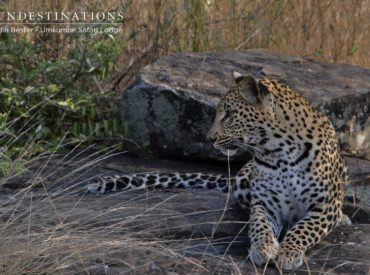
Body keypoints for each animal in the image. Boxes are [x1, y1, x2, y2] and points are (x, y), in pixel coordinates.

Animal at [87, 71, 350, 272]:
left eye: (230, 115)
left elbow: (303, 229)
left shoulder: (324, 206)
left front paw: (288, 253)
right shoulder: (265, 205)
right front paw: (263, 249)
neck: (277, 151)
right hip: (243, 182)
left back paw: (343, 218)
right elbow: (259, 225)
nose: (209, 138)